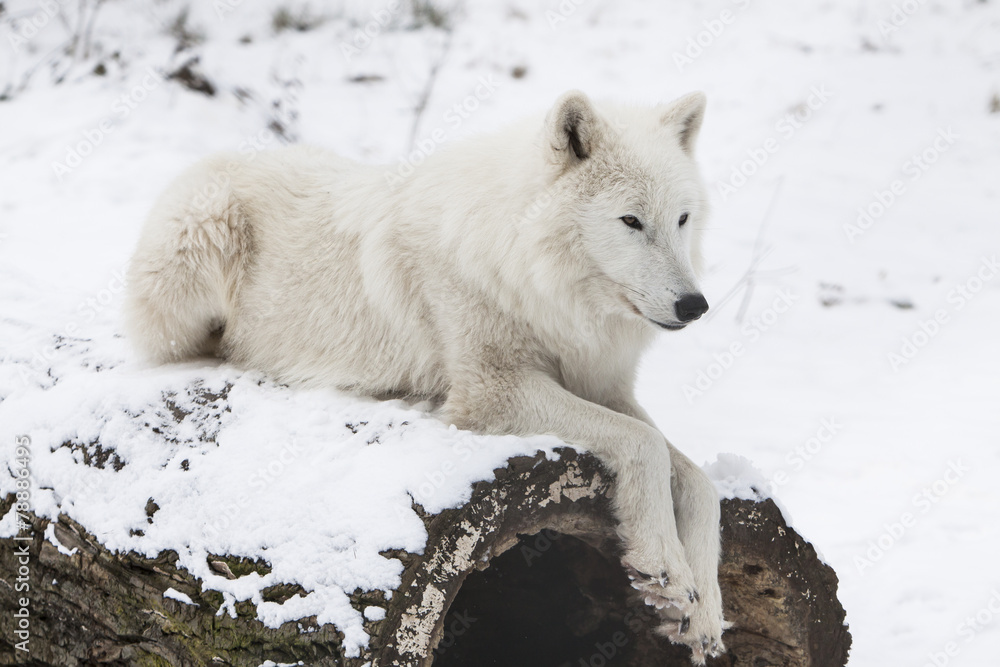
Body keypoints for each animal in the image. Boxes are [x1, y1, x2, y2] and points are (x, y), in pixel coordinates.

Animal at [124, 90, 725, 662]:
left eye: (682, 219)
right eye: (631, 221)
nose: (695, 306)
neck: (525, 274)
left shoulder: (601, 386)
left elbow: (700, 483)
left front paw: (703, 611)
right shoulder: (493, 389)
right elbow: (645, 444)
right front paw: (666, 569)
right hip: (200, 252)